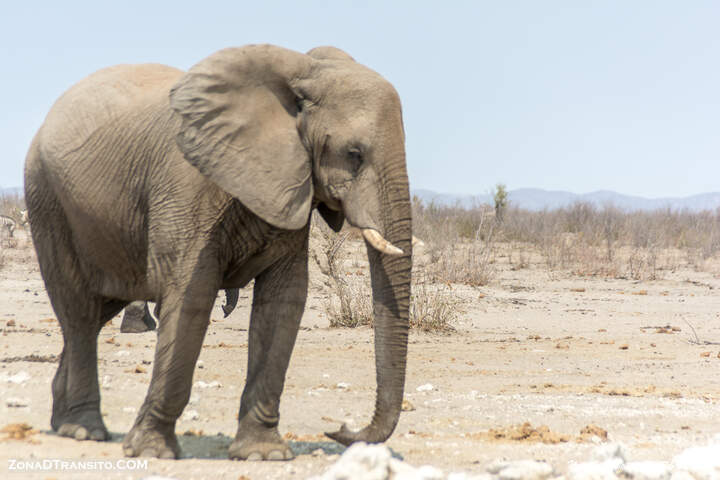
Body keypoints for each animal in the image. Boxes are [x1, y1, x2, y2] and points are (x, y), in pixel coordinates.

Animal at [25, 45, 410, 462]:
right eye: (354, 153)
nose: (339, 428)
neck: (299, 72)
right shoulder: (187, 189)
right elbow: (191, 296)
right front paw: (152, 452)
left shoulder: (290, 186)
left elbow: (284, 301)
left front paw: (263, 454)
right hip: (47, 200)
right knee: (79, 314)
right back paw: (84, 430)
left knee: (93, 315)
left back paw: (62, 422)